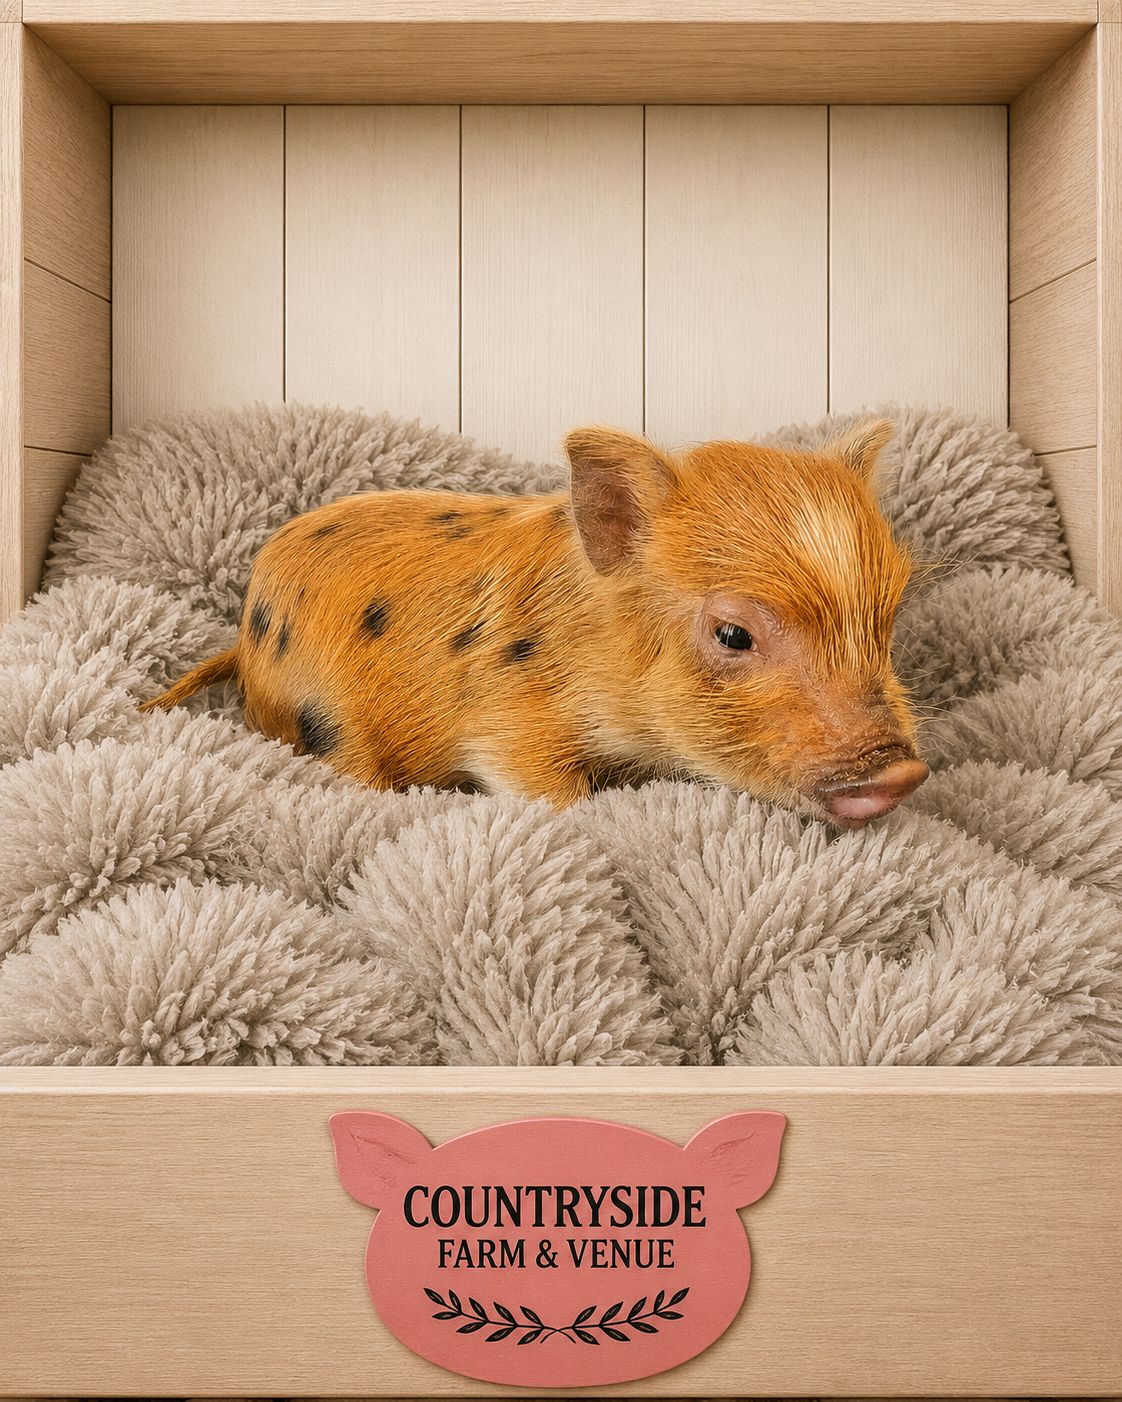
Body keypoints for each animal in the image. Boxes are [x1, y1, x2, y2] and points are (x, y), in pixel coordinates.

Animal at [142, 420, 928, 826]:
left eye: (888, 620)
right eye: (734, 635)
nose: (903, 772)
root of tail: (242, 640)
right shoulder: (507, 721)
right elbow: (542, 787)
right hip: (323, 715)